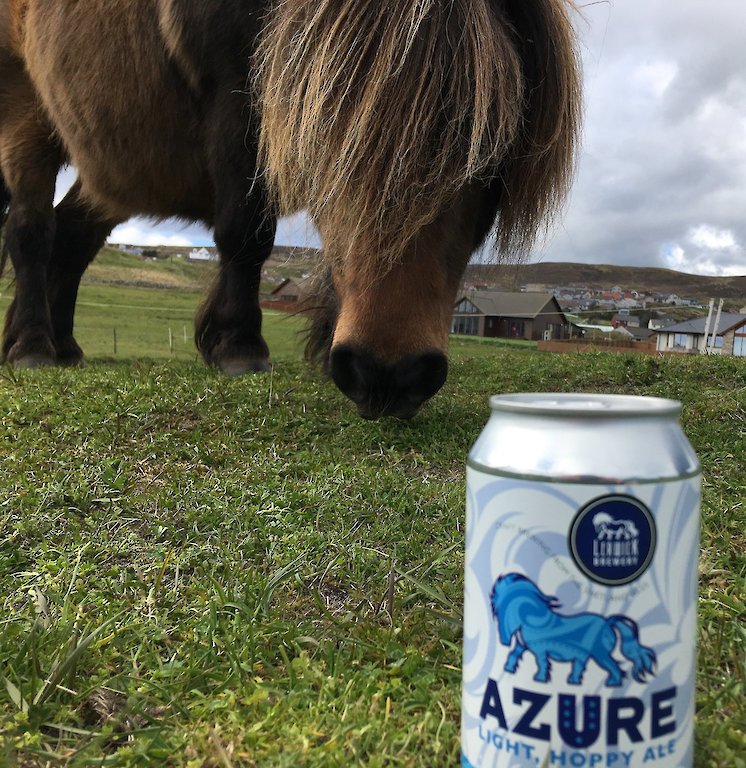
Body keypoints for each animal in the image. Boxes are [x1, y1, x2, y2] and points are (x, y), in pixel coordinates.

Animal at [0, 0, 581, 419]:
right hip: (26, 113)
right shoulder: (239, 97)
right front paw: (238, 345)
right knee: (31, 231)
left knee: (71, 240)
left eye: (491, 155)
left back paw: (66, 346)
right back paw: (32, 347)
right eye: (325, 128)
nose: (390, 374)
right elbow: (247, 233)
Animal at [490, 573, 657, 687]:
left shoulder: (540, 649)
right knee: (580, 666)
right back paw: (574, 681)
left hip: (599, 653)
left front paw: (540, 678)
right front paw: (509, 668)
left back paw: (612, 683)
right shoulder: (522, 645)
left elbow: (542, 663)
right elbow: (514, 653)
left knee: (612, 666)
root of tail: (608, 622)